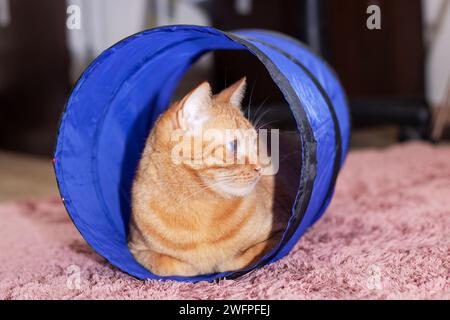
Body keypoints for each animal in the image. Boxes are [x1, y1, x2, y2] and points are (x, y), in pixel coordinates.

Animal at [128, 79, 294, 276]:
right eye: (233, 145)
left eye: (255, 143)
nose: (261, 168)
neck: (198, 204)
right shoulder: (137, 249)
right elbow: (170, 265)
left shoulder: (280, 233)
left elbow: (235, 261)